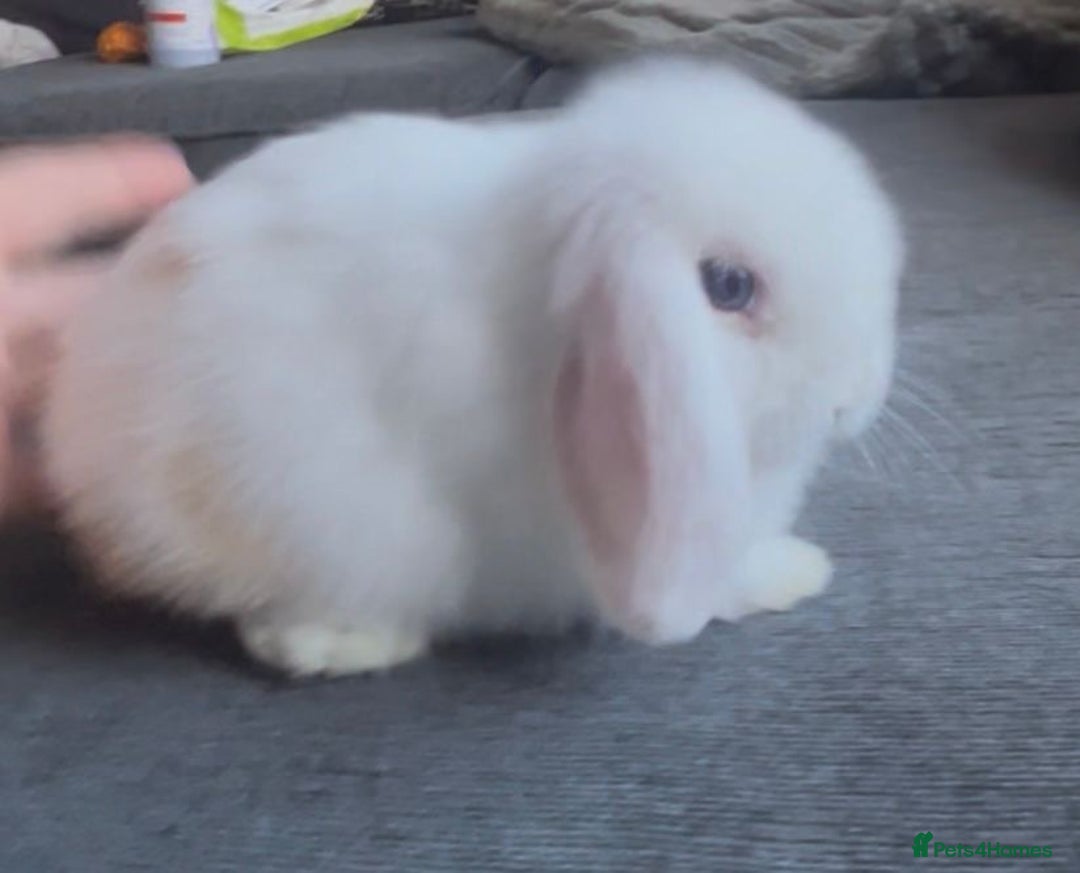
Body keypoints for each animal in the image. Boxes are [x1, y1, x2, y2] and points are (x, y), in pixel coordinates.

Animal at [41, 57, 904, 677]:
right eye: (728, 286)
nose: (855, 394)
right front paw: (793, 574)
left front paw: (796, 566)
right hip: (309, 505)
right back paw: (341, 646)